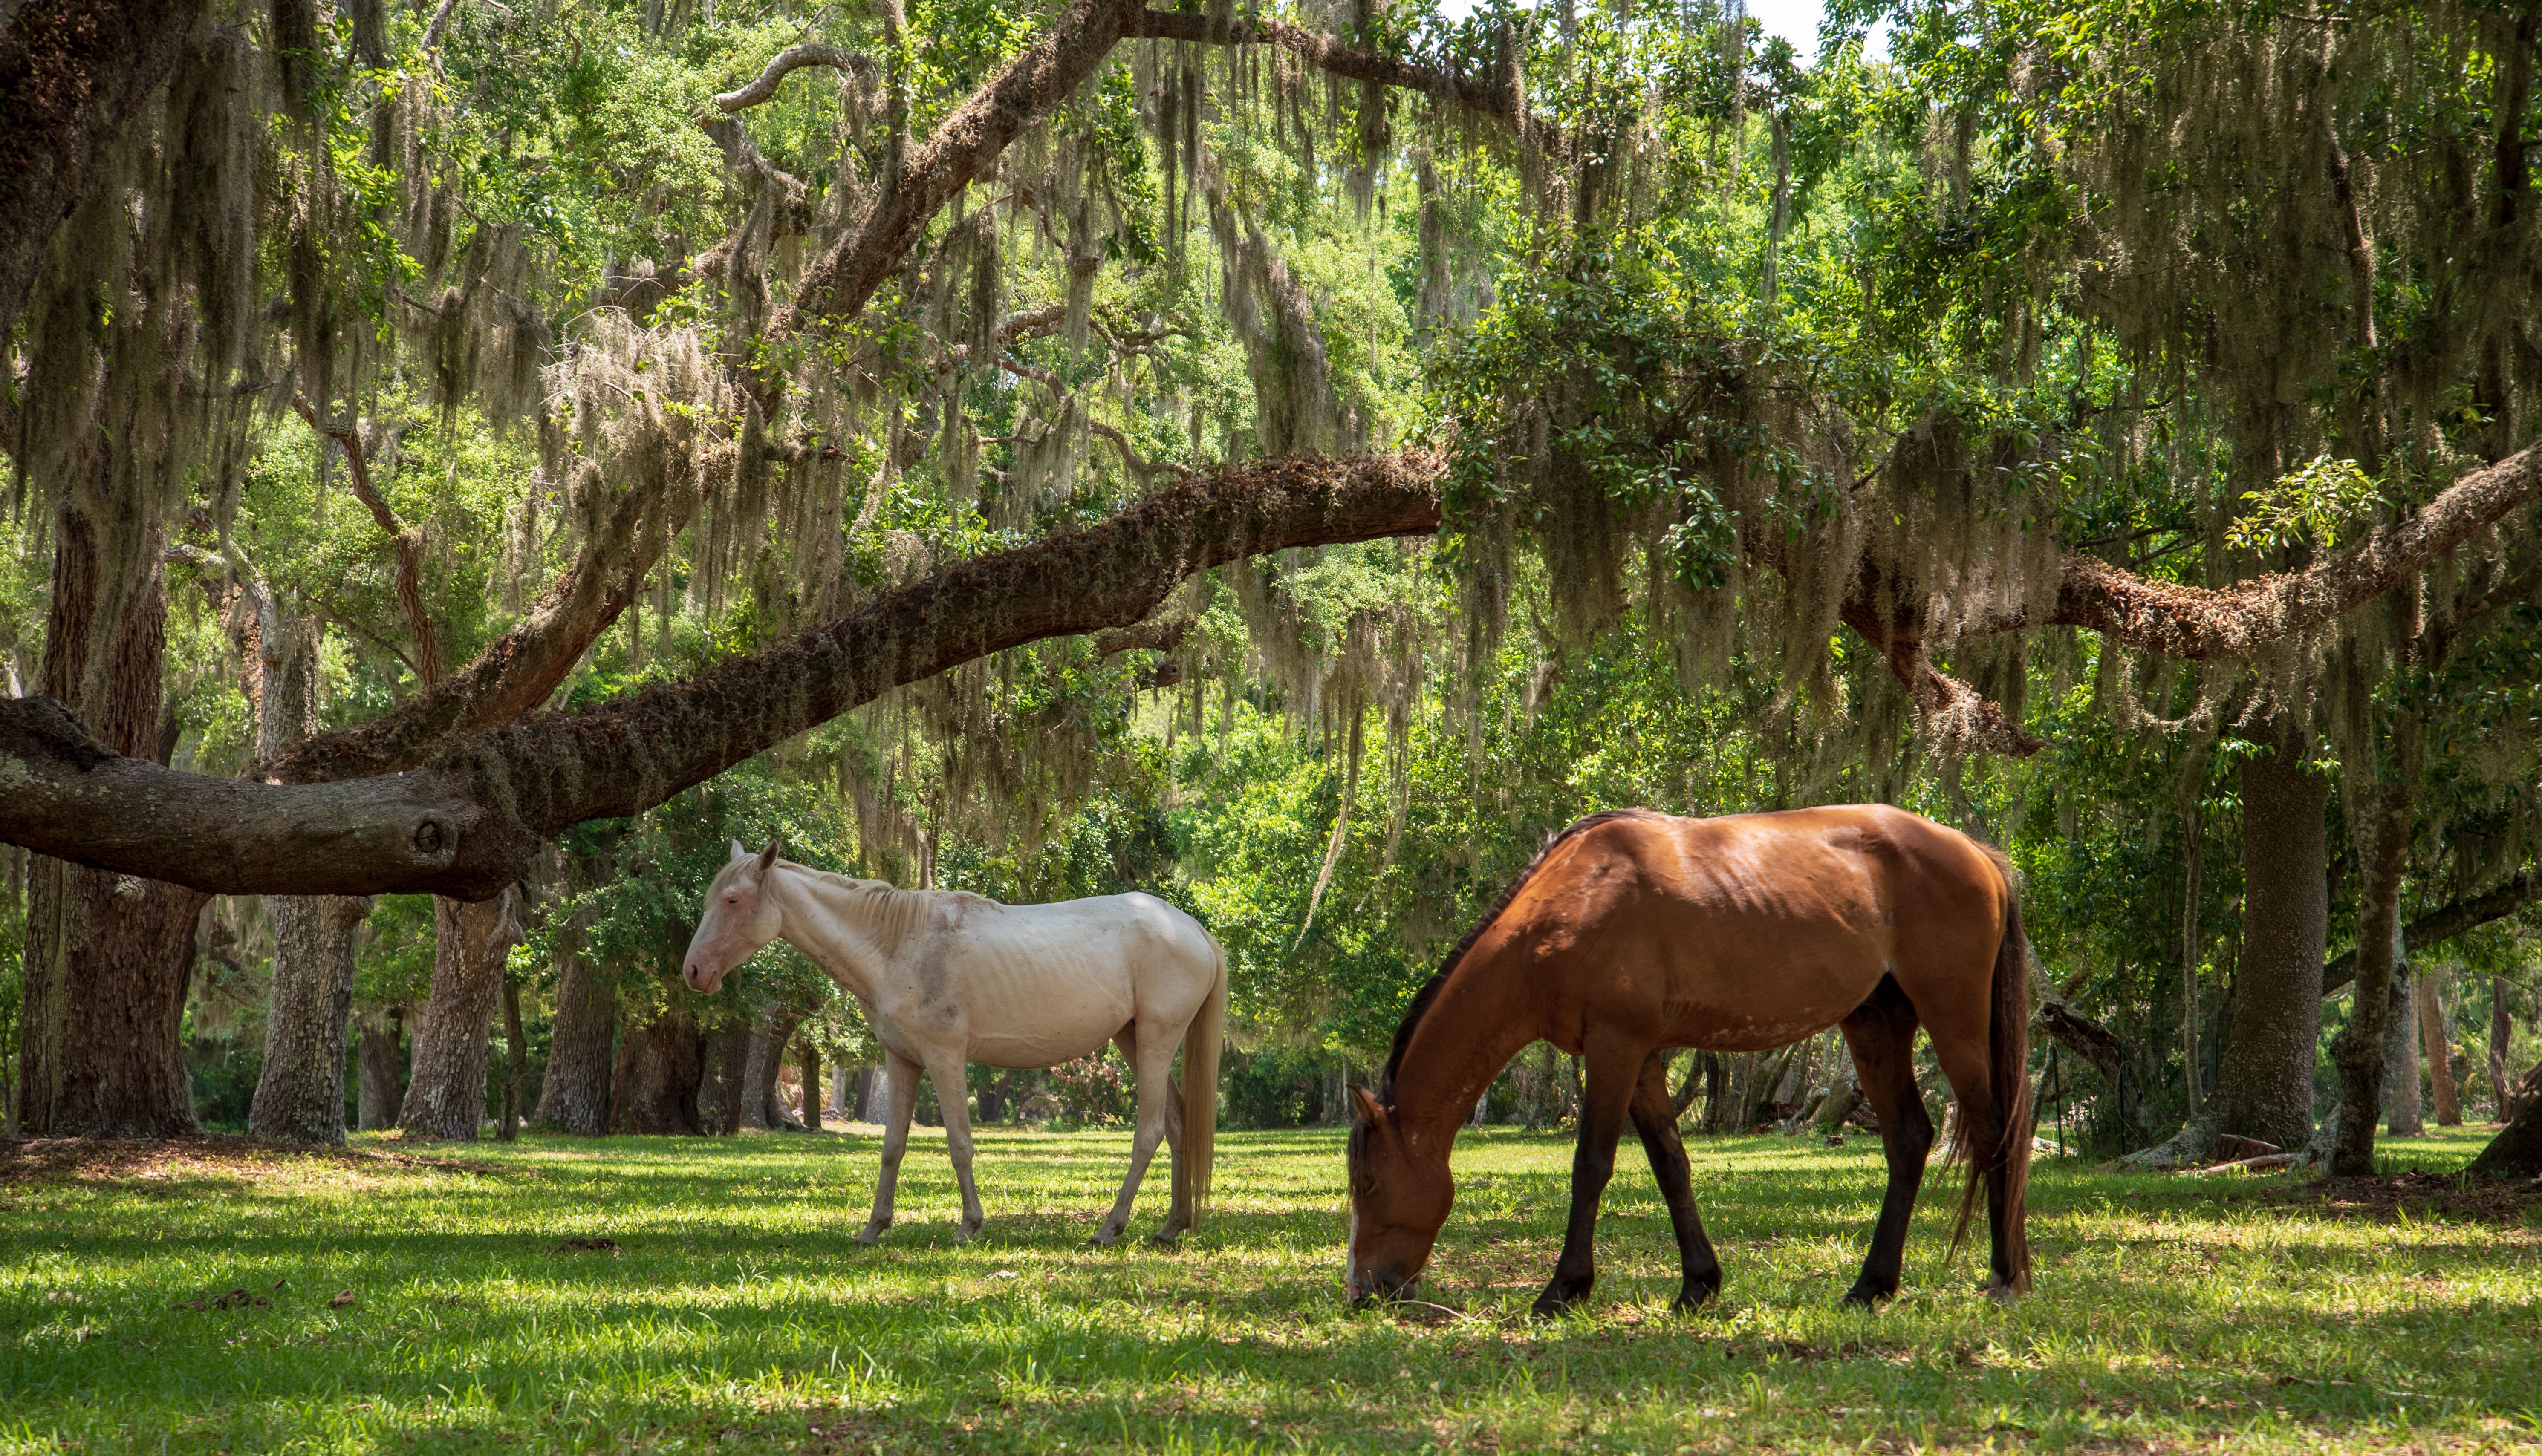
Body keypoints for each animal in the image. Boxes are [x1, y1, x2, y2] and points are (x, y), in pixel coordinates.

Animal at [681, 843, 1225, 1245]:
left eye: (733, 900)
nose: (694, 972)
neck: (897, 943)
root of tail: (1194, 928)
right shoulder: (902, 1062)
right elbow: (892, 1147)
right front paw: (874, 1228)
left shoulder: (945, 1059)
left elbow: (960, 1143)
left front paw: (969, 1226)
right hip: (1132, 1040)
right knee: (1178, 1124)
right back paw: (1172, 1226)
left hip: (1155, 1041)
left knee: (1151, 1131)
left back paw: (1110, 1228)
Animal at [1342, 803, 2034, 1311]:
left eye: (1369, 1183)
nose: (1363, 1292)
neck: (1571, 903)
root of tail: (1977, 854)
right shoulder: (1642, 1058)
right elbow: (1671, 1166)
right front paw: (1698, 1285)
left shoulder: (1615, 1047)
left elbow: (1591, 1166)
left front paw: (1563, 1291)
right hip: (1876, 1023)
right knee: (1910, 1140)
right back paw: (1871, 1287)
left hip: (1954, 1021)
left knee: (1993, 1132)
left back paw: (2004, 1277)